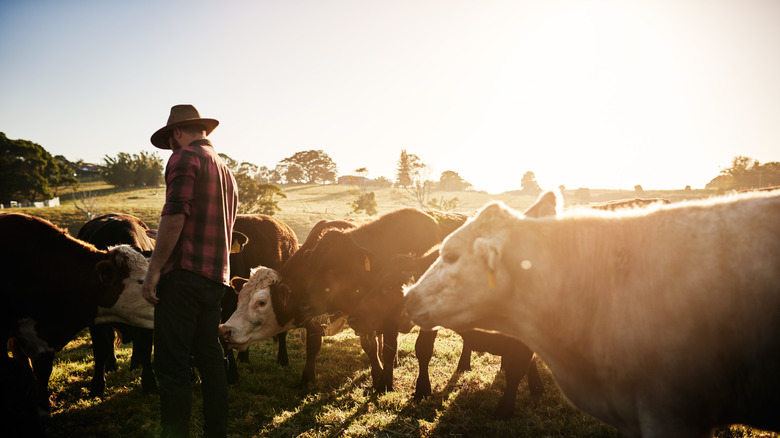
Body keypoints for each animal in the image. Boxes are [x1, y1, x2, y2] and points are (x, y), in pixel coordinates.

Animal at [79, 212, 158, 396]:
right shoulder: (96, 320)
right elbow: (101, 348)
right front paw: (97, 386)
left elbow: (144, 347)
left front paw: (149, 384)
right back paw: (111, 365)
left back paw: (135, 363)